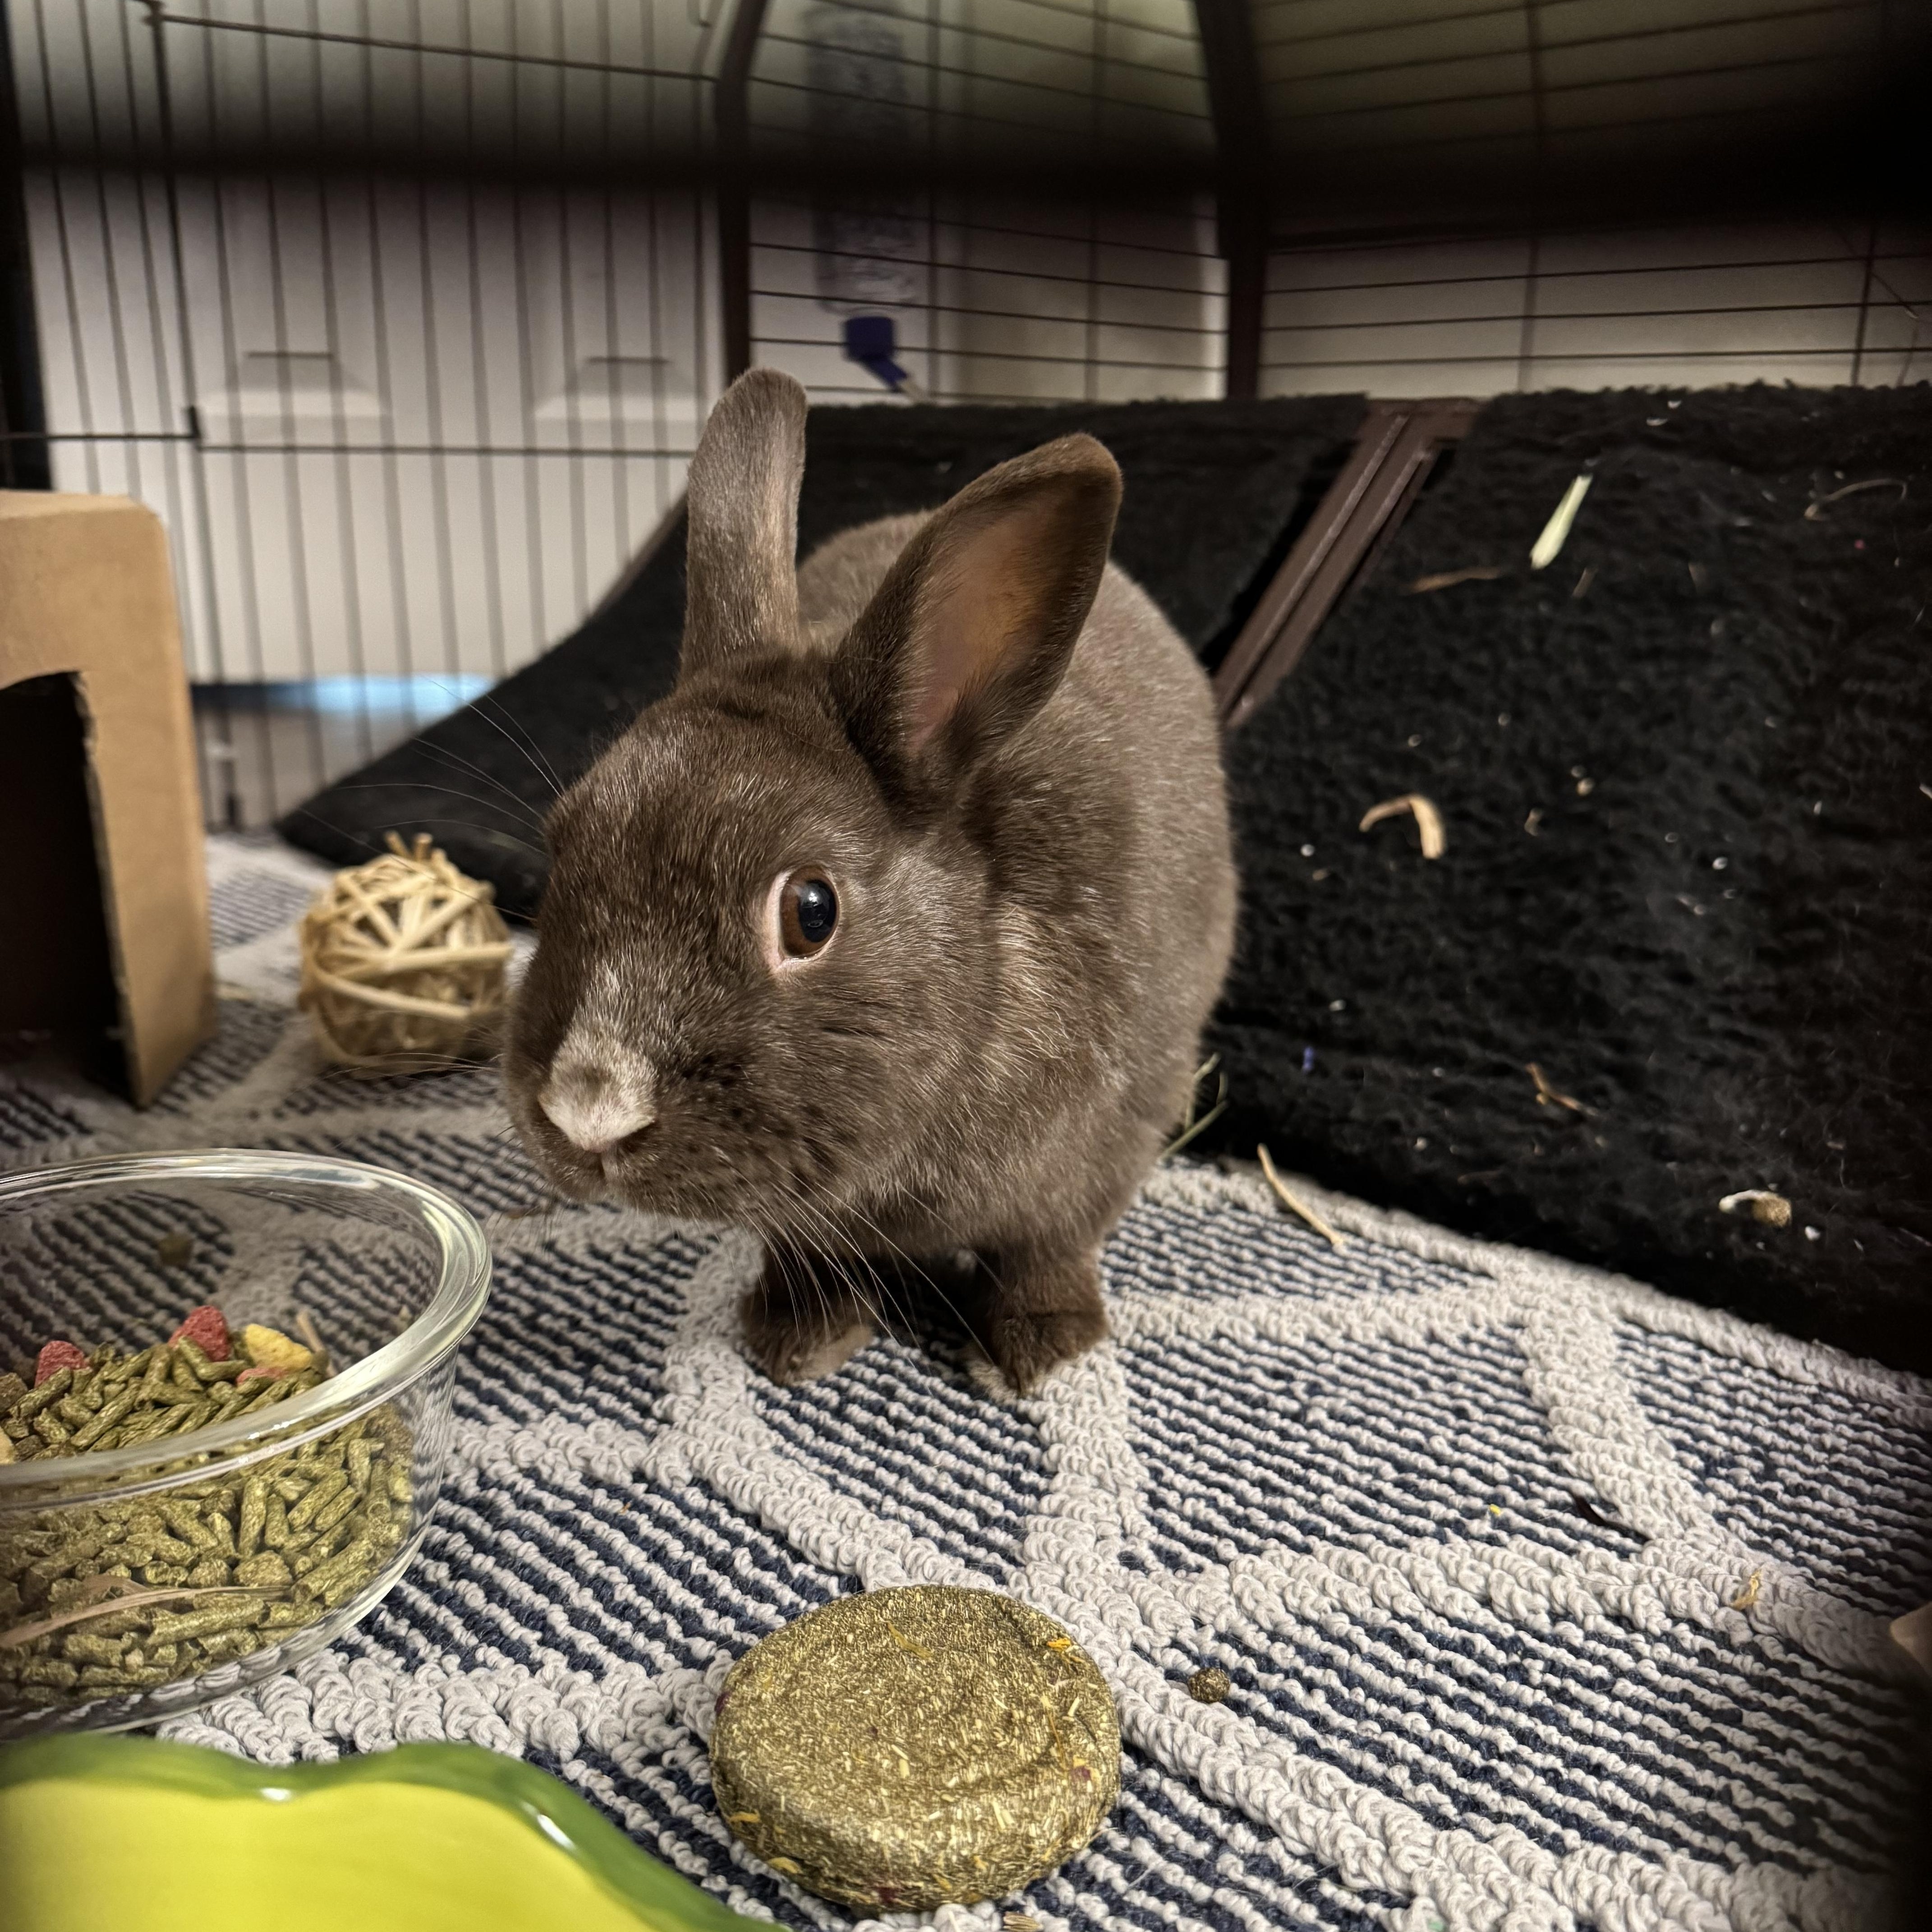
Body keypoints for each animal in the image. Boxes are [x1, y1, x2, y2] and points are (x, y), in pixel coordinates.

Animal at [503, 368, 1236, 1394]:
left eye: (811, 911)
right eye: (562, 846)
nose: (588, 1111)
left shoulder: (1102, 1153)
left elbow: (1047, 1251)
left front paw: (1041, 1353)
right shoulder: (808, 1217)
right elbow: (808, 1256)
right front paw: (799, 1340)